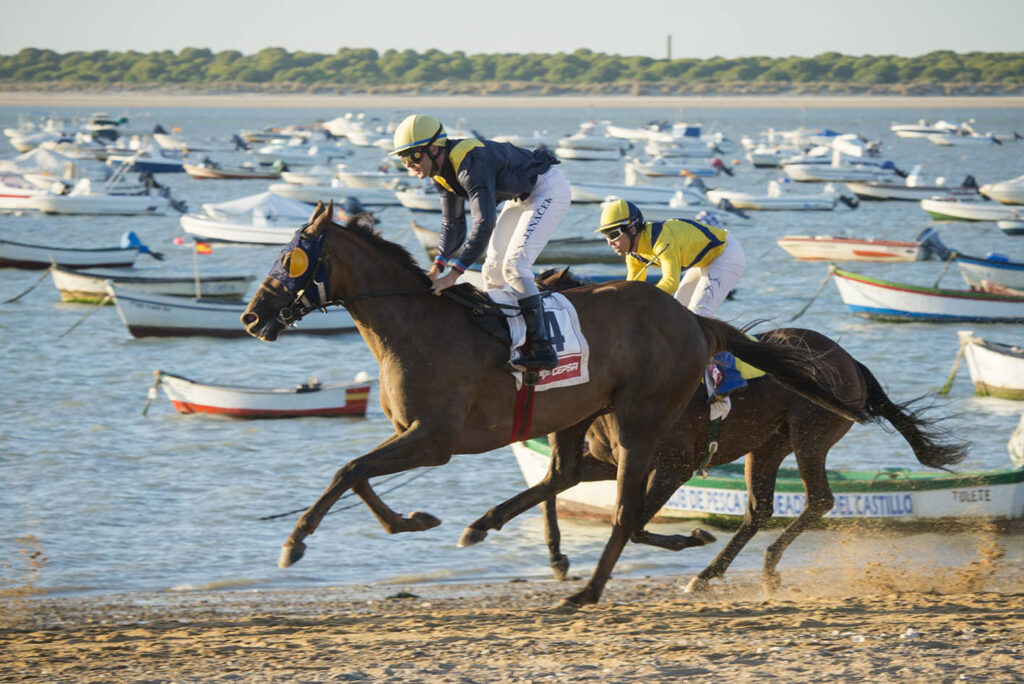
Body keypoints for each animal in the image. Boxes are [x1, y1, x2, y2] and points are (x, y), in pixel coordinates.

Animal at [241, 202, 877, 608]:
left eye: (290, 257)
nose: (251, 316)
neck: (417, 327)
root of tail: (695, 322)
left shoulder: (434, 440)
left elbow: (349, 469)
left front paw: (294, 543)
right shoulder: (414, 435)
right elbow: (356, 474)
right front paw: (413, 520)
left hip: (649, 426)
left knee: (626, 512)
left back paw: (591, 590)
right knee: (591, 488)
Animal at [491, 267, 967, 593]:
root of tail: (850, 361)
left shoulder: (674, 465)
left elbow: (636, 521)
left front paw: (693, 536)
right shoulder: (611, 461)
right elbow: (553, 491)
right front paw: (557, 558)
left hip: (809, 434)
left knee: (819, 499)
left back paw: (759, 564)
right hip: (768, 444)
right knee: (760, 510)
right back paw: (711, 574)